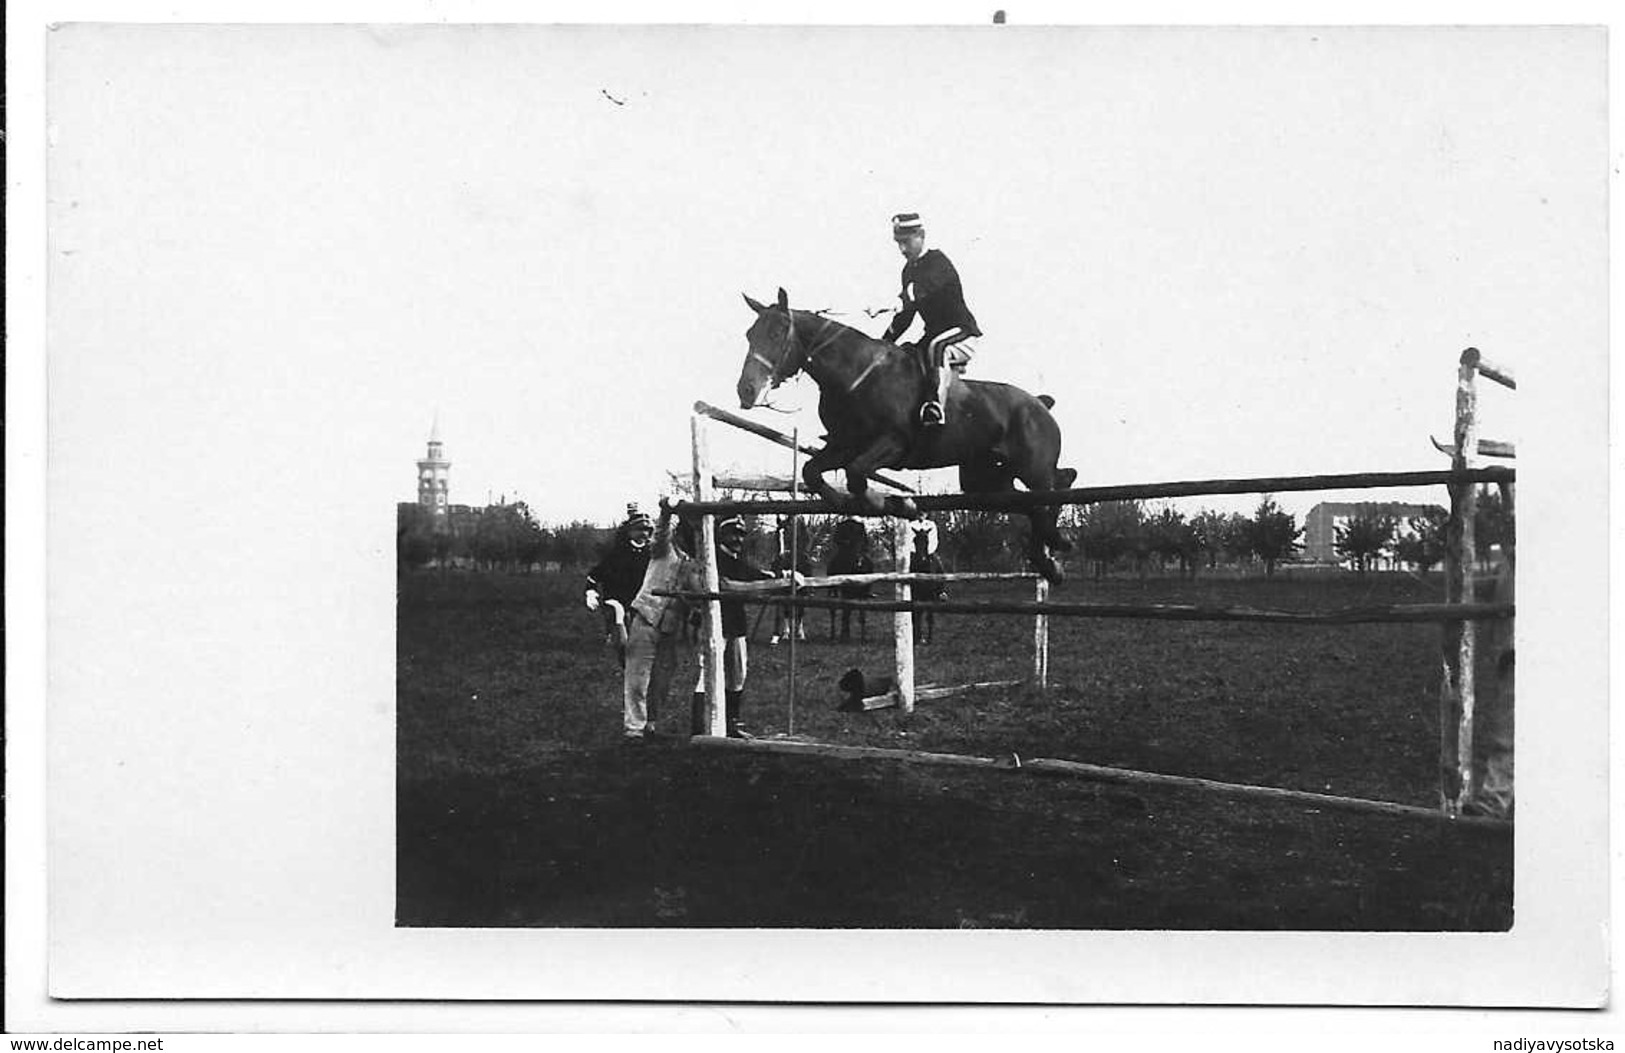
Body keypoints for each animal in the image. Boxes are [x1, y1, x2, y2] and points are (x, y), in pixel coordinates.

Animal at [741, 287, 1079, 585]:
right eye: (749, 334)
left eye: (777, 333)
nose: (745, 390)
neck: (855, 375)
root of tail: (1040, 404)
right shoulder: (844, 445)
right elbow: (814, 471)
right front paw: (846, 503)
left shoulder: (894, 443)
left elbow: (857, 473)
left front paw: (898, 505)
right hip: (984, 479)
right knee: (1031, 500)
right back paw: (1048, 559)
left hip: (1032, 469)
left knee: (1055, 486)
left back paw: (1057, 543)